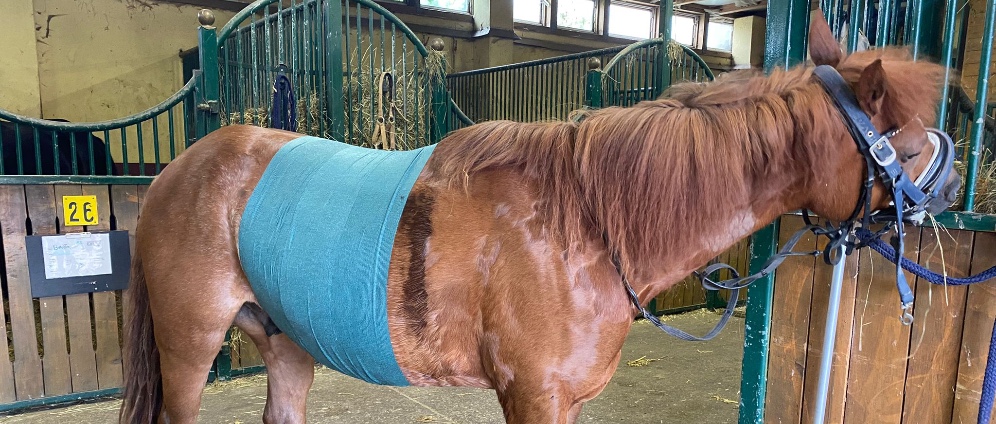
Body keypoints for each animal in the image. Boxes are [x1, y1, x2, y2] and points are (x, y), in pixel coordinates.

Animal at [118, 15, 961, 424]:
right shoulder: (532, 396)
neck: (584, 225)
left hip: (288, 343)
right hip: (189, 346)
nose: (952, 189)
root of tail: (175, 175)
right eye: (906, 133)